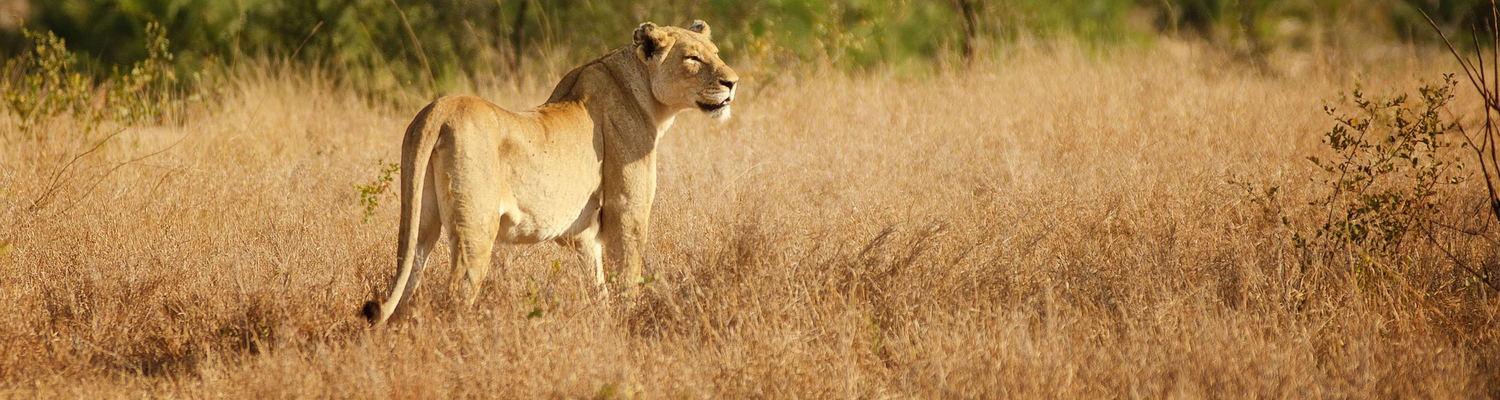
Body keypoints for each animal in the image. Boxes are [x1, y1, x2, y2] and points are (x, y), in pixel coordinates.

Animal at [361, 20, 739, 325]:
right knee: (456, 293)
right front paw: (630, 323)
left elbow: (597, 284)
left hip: (420, 223)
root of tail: (439, 107)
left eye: (716, 53)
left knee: (408, 283)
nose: (732, 82)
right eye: (692, 58)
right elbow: (627, 276)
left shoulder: (582, 233)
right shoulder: (626, 212)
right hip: (475, 229)